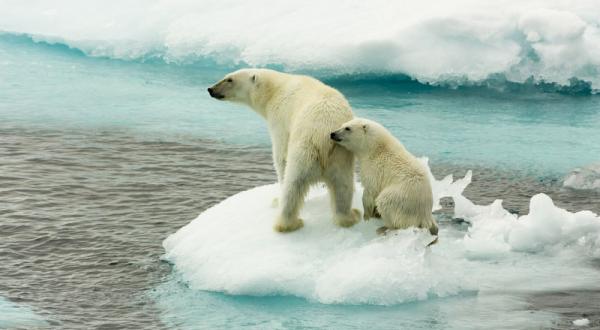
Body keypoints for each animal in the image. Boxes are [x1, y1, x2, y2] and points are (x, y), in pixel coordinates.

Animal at [209, 68, 358, 231]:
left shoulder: (280, 118)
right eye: (226, 76)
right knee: (343, 187)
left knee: (293, 185)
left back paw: (287, 221)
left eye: (230, 79)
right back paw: (348, 216)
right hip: (341, 156)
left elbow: (280, 154)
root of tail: (323, 138)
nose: (211, 89)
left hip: (304, 150)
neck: (275, 89)